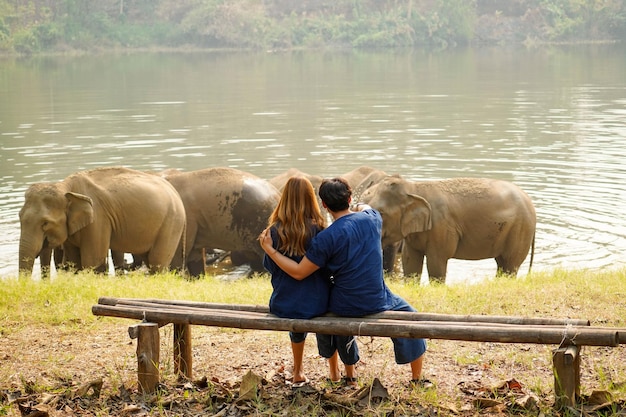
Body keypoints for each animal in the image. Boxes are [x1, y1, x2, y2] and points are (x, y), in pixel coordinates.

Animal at [18, 166, 185, 276]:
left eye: (45, 223)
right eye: (19, 217)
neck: (64, 186)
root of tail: (175, 192)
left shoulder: (98, 219)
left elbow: (92, 260)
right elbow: (74, 260)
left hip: (171, 223)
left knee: (157, 261)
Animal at [360, 176, 536, 282]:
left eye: (381, 213)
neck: (414, 188)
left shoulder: (442, 227)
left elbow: (436, 262)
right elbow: (410, 261)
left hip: (520, 230)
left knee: (510, 265)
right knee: (502, 264)